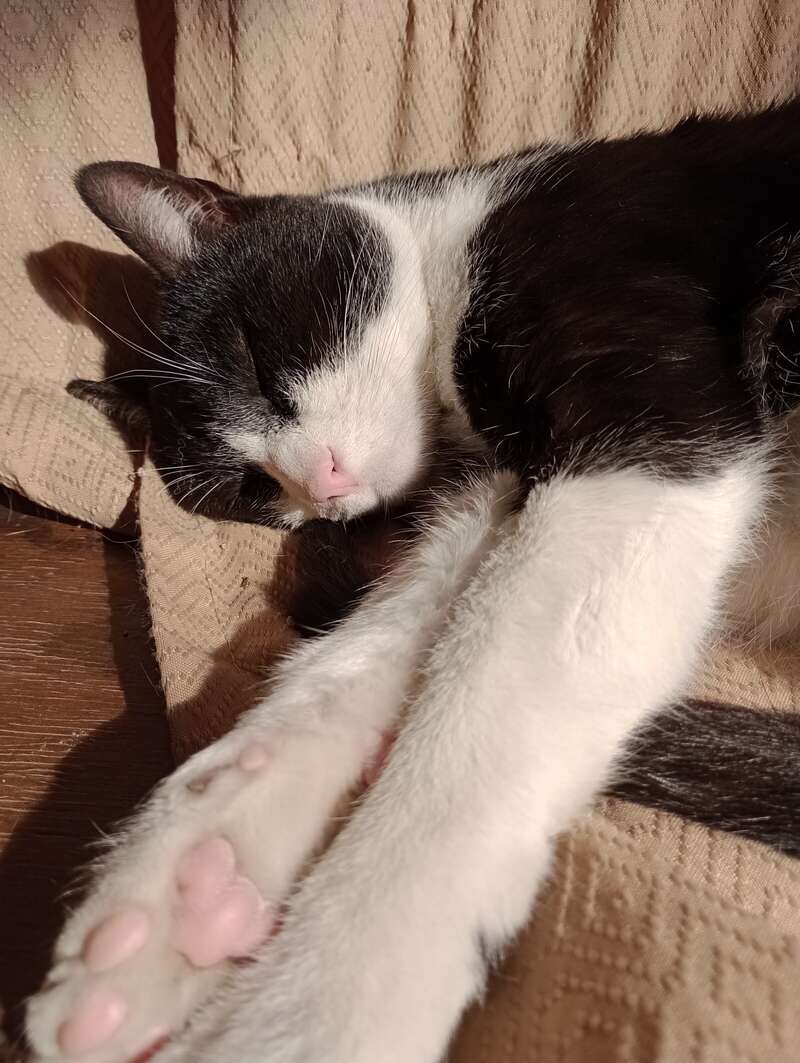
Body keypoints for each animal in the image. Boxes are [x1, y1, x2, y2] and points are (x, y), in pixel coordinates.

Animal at [26, 98, 800, 1063]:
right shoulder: (492, 493)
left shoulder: (644, 427)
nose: (319, 486)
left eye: (255, 358)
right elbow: (370, 647)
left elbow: (493, 696)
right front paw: (191, 886)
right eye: (248, 488)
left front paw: (312, 1009)